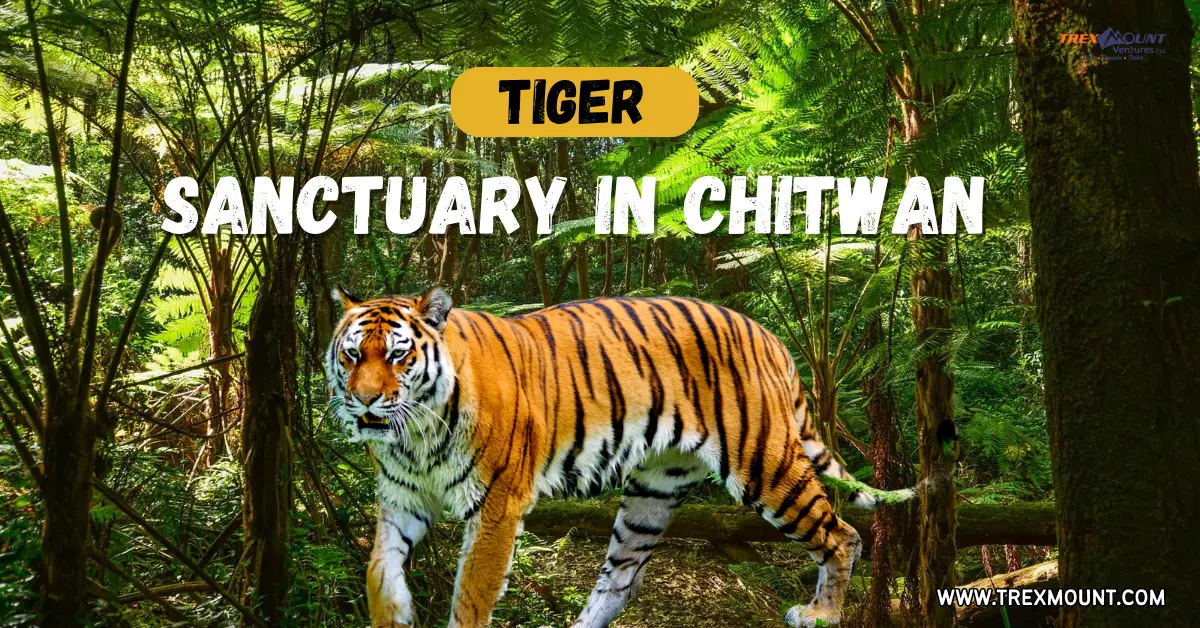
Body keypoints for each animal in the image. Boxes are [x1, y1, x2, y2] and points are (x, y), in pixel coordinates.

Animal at [325, 286, 914, 628]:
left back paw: (821, 613)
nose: (366, 399)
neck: (414, 435)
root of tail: (766, 333)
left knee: (842, 535)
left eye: (398, 356)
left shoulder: (497, 507)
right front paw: (395, 616)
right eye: (352, 354)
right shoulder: (401, 501)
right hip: (654, 489)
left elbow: (472, 595)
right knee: (622, 581)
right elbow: (379, 570)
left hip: (764, 464)